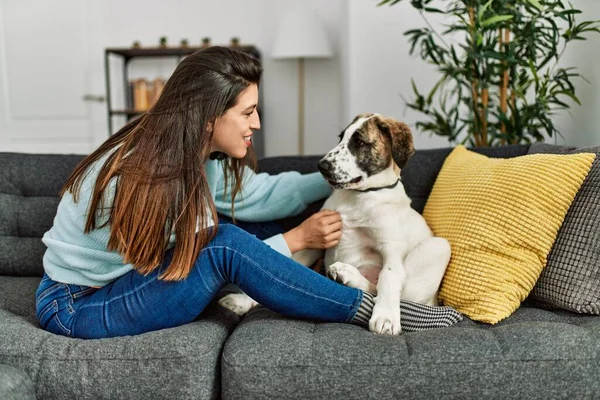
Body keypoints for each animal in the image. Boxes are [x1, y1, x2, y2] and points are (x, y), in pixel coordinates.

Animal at [217, 112, 450, 334]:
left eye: (360, 142)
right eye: (341, 137)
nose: (322, 166)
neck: (358, 197)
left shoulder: (392, 250)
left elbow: (389, 278)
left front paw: (386, 317)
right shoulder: (317, 241)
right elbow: (281, 266)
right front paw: (243, 300)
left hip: (439, 246)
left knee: (399, 294)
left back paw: (350, 276)